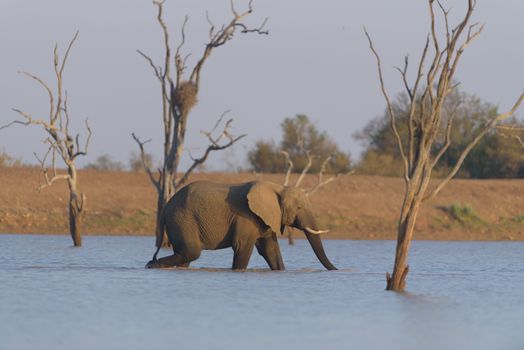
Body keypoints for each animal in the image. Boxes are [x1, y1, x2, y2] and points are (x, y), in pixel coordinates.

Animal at [145, 180, 338, 270]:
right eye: (299, 208)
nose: (337, 270)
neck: (277, 187)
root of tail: (166, 207)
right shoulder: (246, 217)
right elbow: (242, 246)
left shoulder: (264, 219)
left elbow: (270, 249)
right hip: (182, 219)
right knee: (191, 251)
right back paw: (151, 266)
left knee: (186, 254)